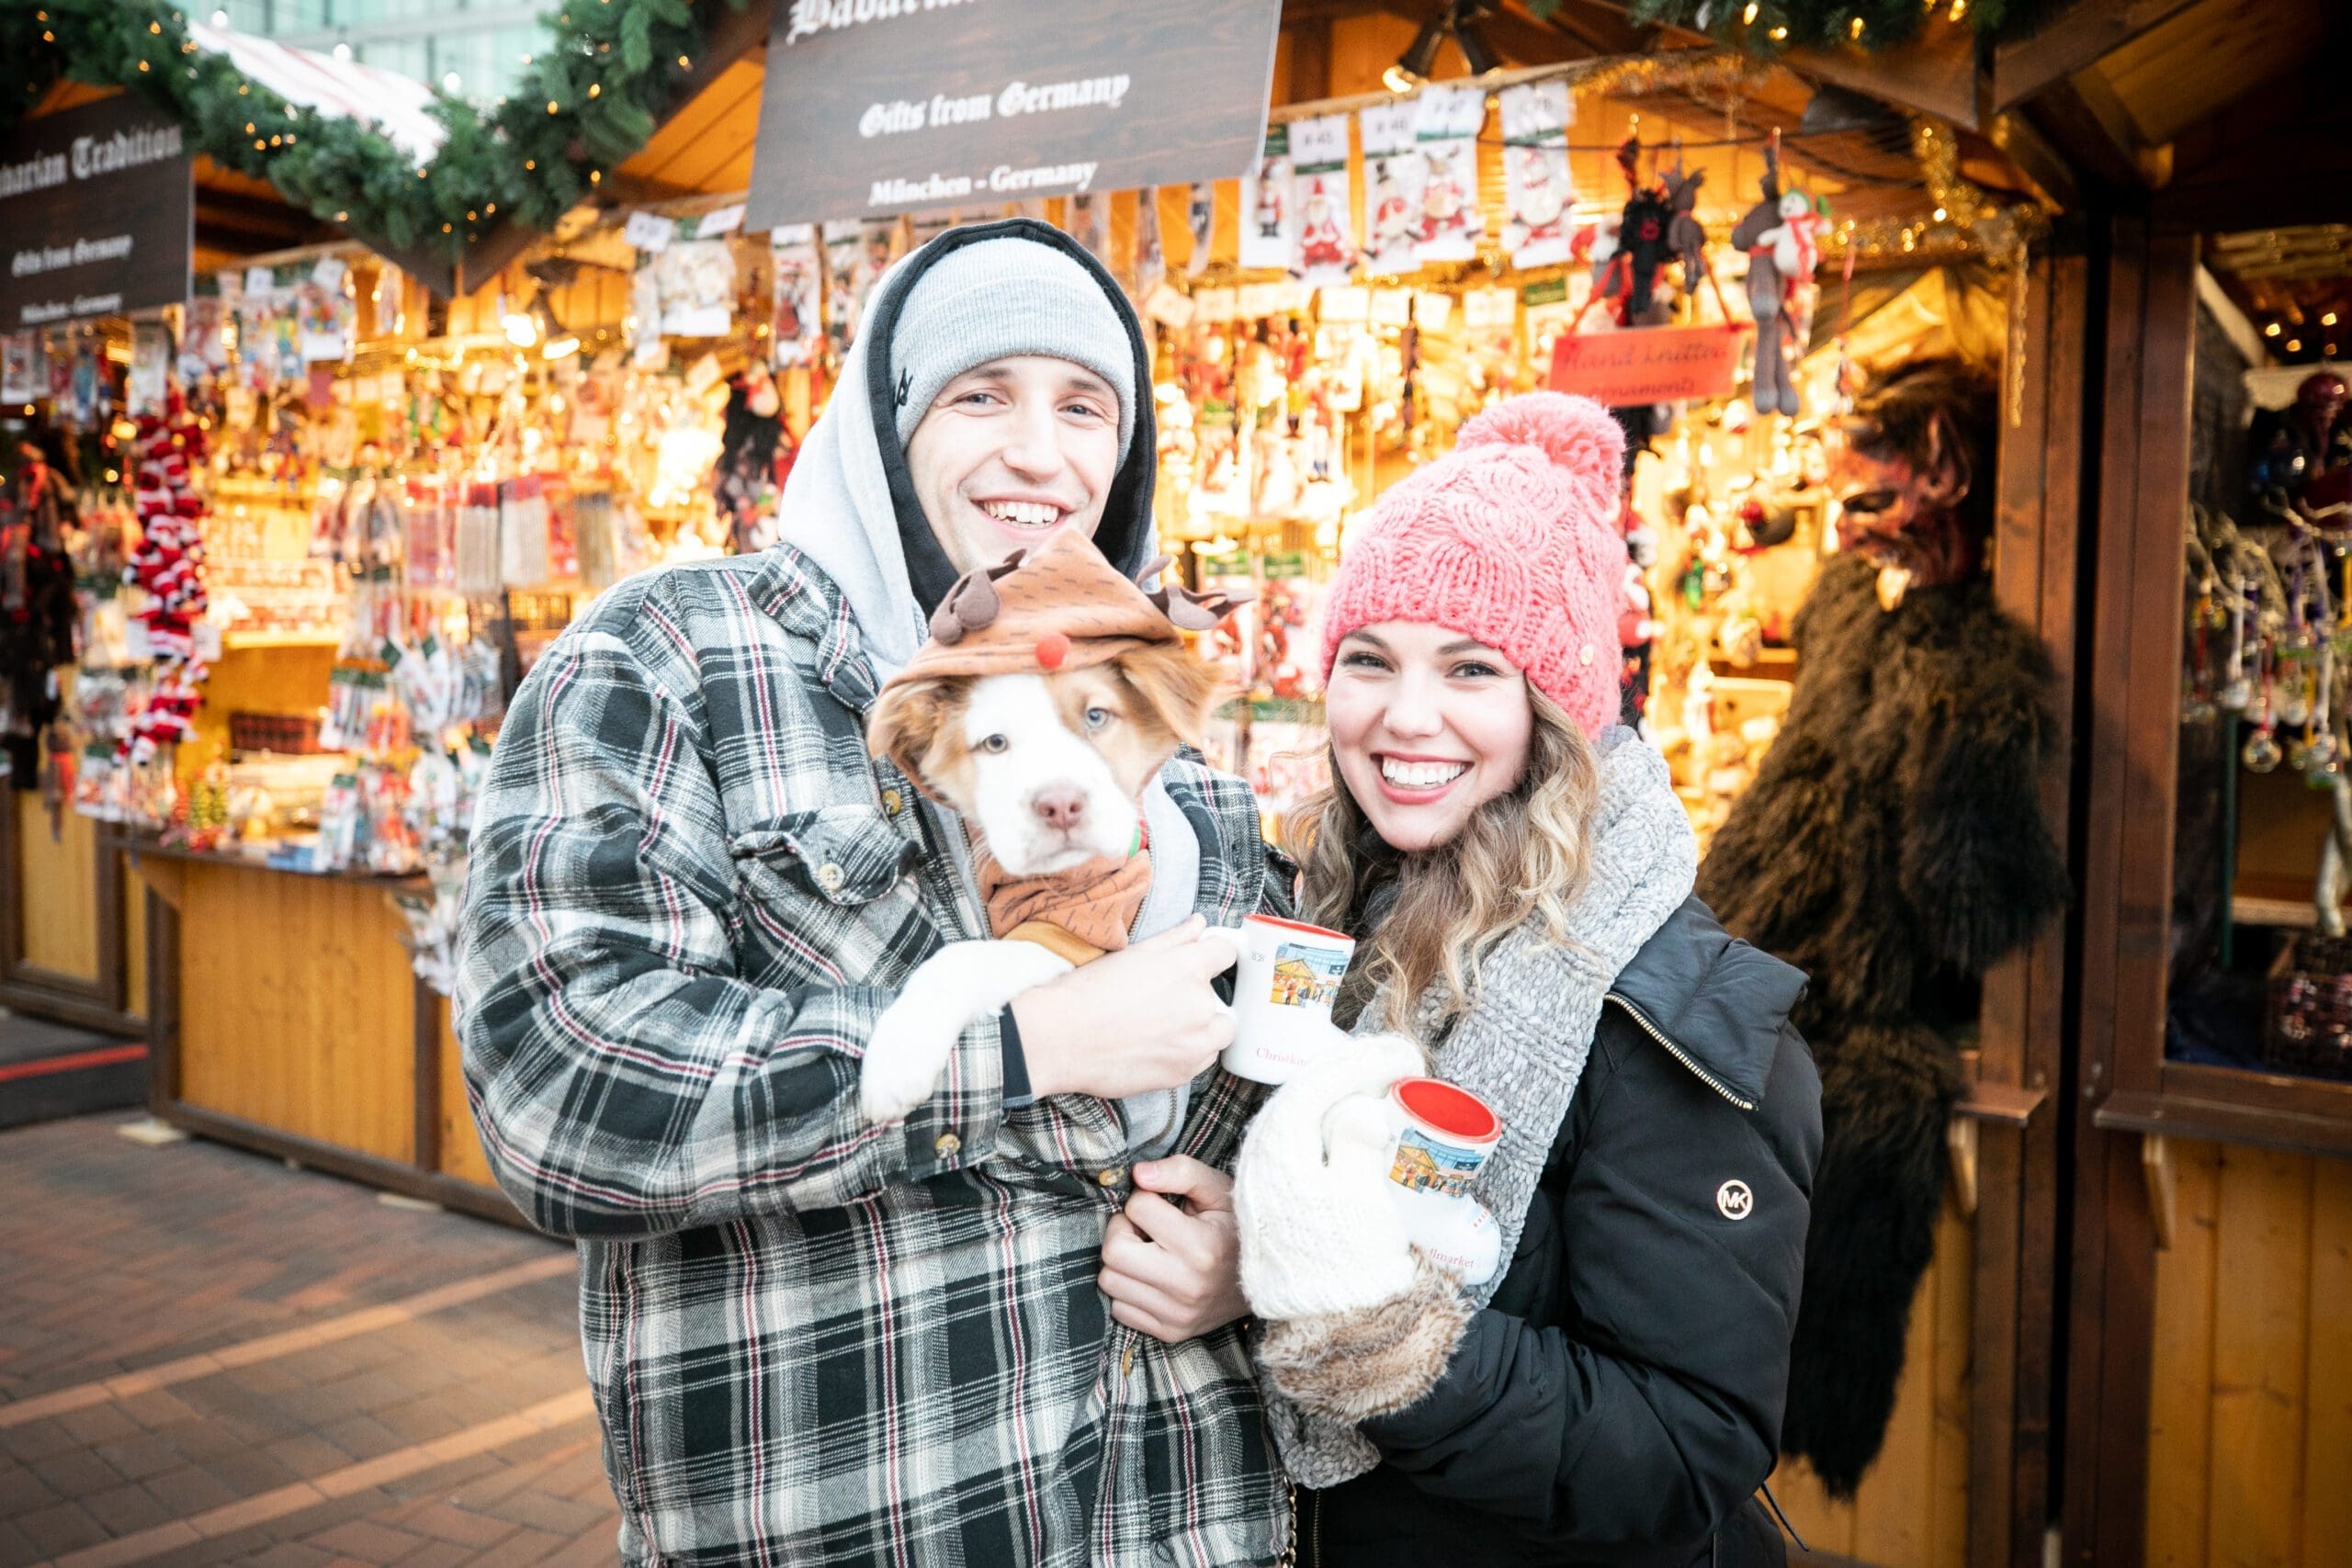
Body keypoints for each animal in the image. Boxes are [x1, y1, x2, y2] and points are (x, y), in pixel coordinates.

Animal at [855, 540, 1241, 1128]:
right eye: (995, 743)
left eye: (1097, 716)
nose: (1060, 805)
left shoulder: (1079, 927)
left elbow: (964, 959)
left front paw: (896, 1061)